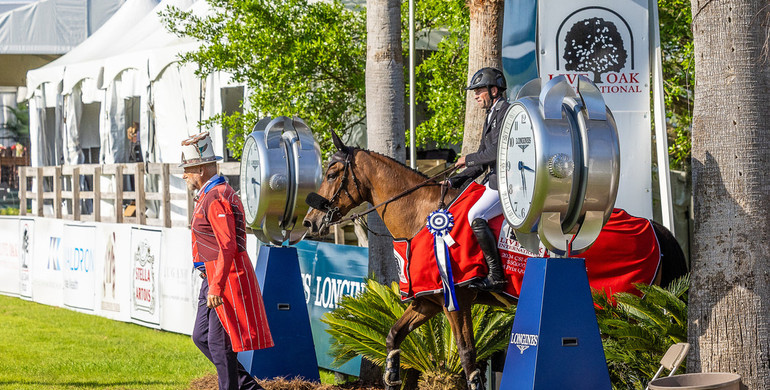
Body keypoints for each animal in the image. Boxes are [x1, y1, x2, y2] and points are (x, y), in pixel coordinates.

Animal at [304, 132, 688, 390]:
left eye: (333, 173)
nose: (309, 222)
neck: (421, 215)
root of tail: (653, 228)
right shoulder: (428, 302)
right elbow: (393, 334)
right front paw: (392, 376)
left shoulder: (456, 301)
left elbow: (467, 355)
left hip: (623, 307)